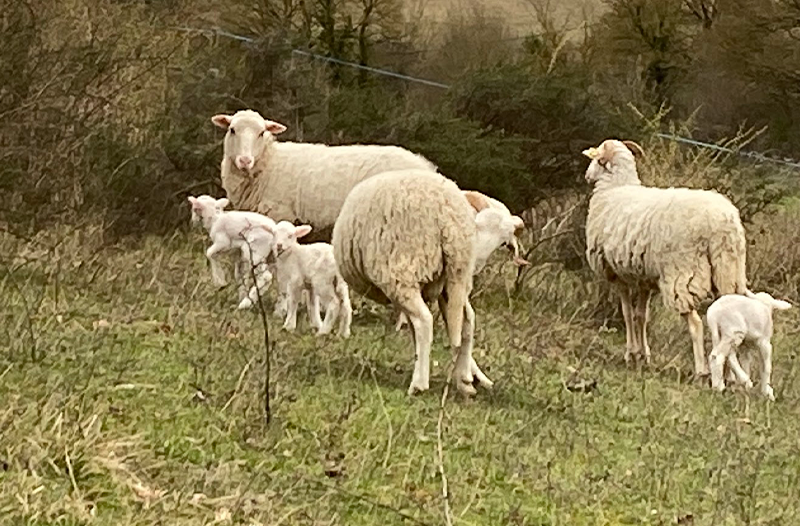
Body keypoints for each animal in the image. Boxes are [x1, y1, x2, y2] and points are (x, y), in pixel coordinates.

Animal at [209, 110, 438, 240]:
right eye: (232, 130)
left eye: (261, 132)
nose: (244, 161)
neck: (269, 163)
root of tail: (429, 169)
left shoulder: (281, 213)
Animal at [332, 168, 494, 396]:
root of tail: (449, 216)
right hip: (455, 276)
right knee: (466, 321)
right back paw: (463, 380)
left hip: (401, 272)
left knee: (424, 321)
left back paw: (419, 384)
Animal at [580, 139, 752, 380]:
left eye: (595, 159)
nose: (587, 176)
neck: (616, 186)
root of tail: (721, 223)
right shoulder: (645, 278)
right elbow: (641, 316)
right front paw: (643, 355)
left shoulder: (617, 274)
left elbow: (627, 314)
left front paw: (630, 353)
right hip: (728, 271)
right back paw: (729, 375)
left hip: (683, 274)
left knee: (696, 324)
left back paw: (702, 371)